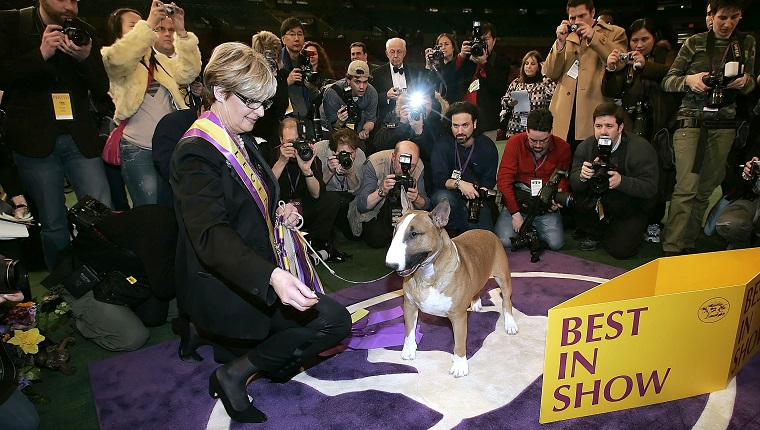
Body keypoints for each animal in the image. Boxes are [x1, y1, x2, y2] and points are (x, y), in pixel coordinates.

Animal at [386, 198, 516, 376]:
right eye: (395, 229)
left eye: (414, 234)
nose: (390, 264)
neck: (426, 274)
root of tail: (487, 232)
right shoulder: (409, 305)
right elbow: (409, 330)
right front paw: (409, 351)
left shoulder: (458, 316)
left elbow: (460, 342)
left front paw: (460, 366)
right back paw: (476, 302)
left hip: (503, 276)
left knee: (506, 300)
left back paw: (510, 324)